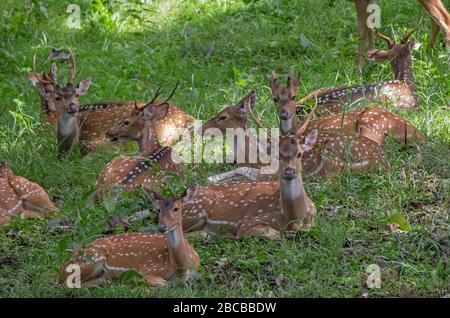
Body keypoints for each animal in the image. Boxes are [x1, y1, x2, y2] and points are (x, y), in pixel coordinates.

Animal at [59, 186, 199, 288]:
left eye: (176, 209)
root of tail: (61, 268)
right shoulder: (147, 269)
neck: (181, 267)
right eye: (158, 210)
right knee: (68, 283)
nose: (162, 226)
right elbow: (161, 283)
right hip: (91, 258)